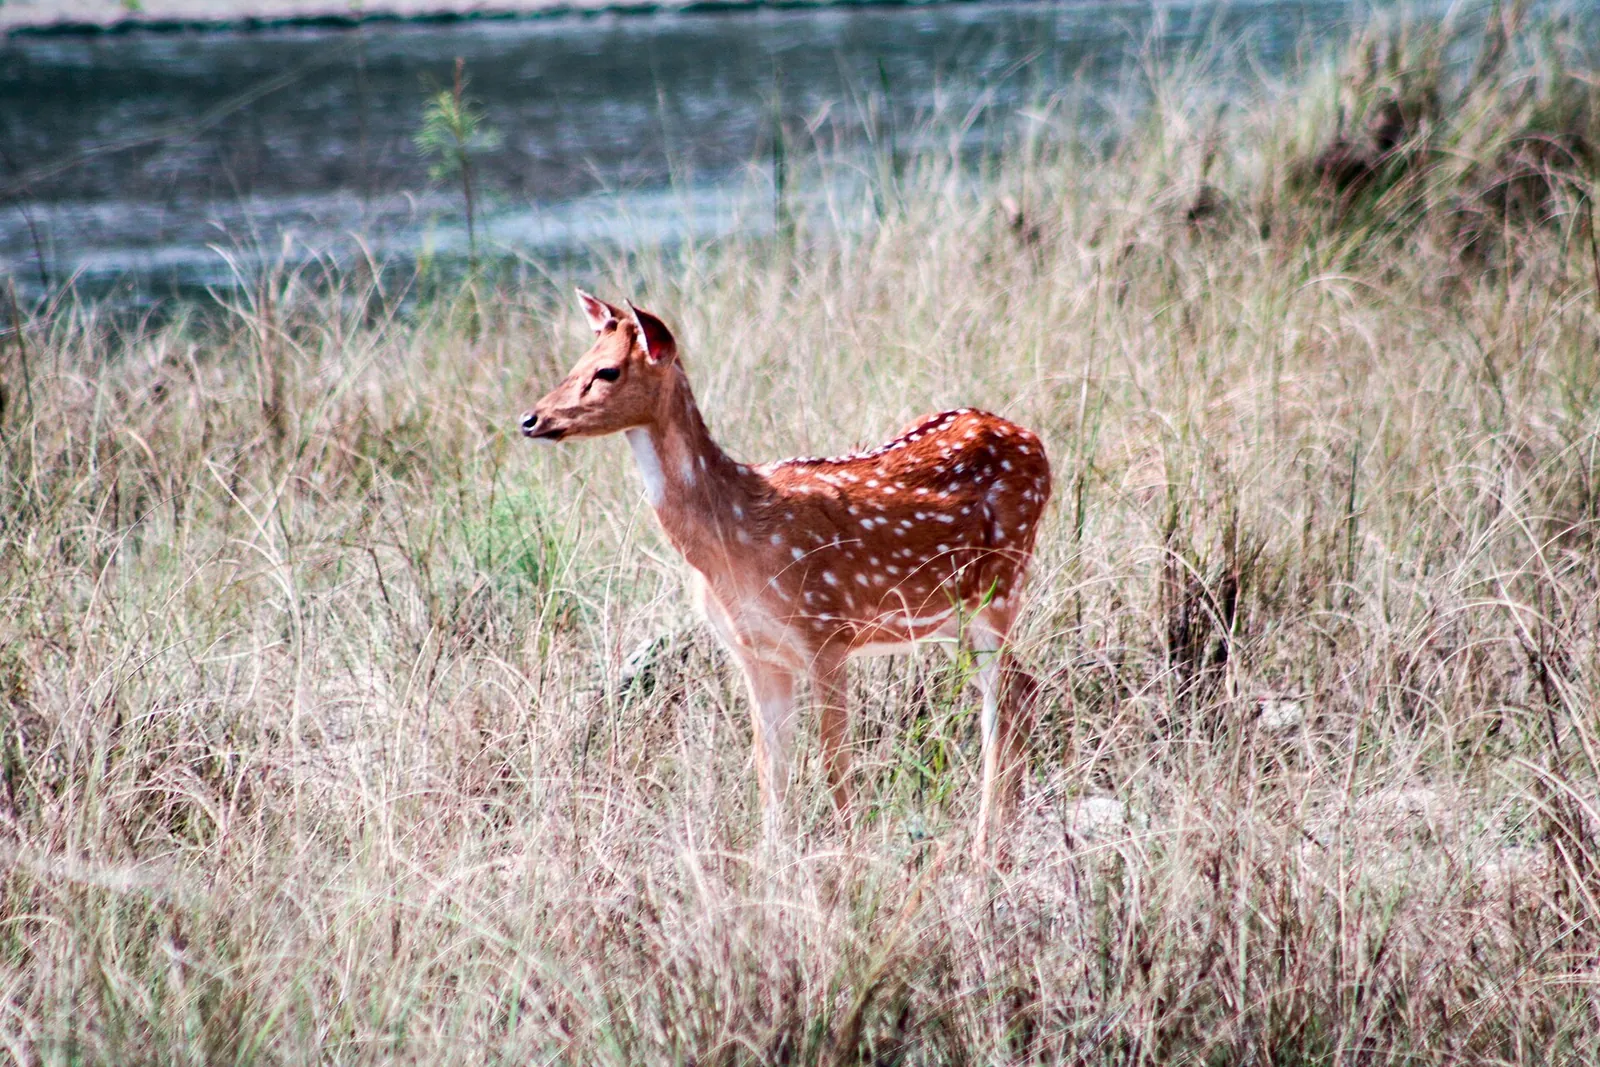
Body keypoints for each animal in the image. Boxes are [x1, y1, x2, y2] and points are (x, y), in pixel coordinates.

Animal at [520, 291, 1052, 856]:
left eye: (608, 370)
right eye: (576, 362)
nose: (530, 419)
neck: (736, 538)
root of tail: (1036, 441)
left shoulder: (828, 632)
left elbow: (834, 767)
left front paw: (846, 864)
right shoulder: (755, 655)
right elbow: (770, 775)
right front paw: (772, 864)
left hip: (1002, 586)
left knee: (1004, 700)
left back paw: (985, 848)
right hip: (952, 617)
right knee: (1022, 689)